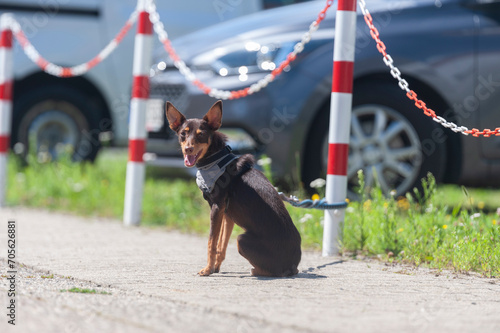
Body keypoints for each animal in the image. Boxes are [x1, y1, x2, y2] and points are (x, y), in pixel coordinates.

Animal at [167, 100, 300, 276]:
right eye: (183, 133)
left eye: (201, 134)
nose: (188, 149)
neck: (214, 160)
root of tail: (292, 266)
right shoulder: (227, 214)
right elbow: (221, 245)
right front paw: (215, 268)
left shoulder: (216, 208)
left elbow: (211, 242)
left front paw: (207, 270)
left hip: (241, 239)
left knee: (270, 271)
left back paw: (255, 270)